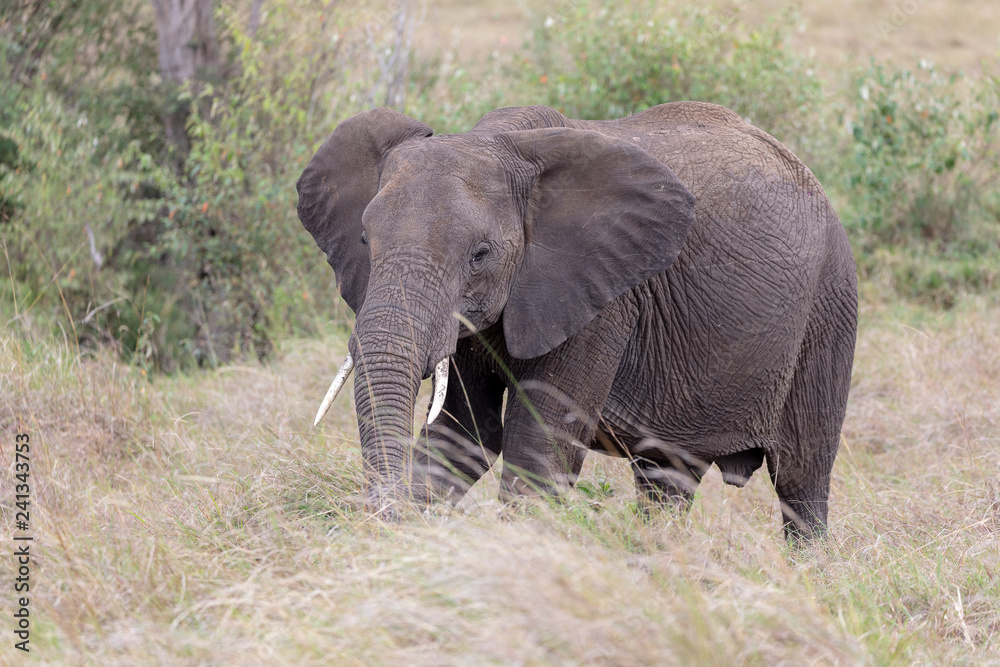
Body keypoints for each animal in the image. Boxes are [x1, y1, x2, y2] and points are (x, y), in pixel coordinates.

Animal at [296, 104, 860, 544]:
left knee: (801, 482)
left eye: (480, 254)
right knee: (667, 478)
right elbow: (463, 437)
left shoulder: (604, 298)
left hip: (828, 311)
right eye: (365, 241)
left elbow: (538, 449)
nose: (382, 520)